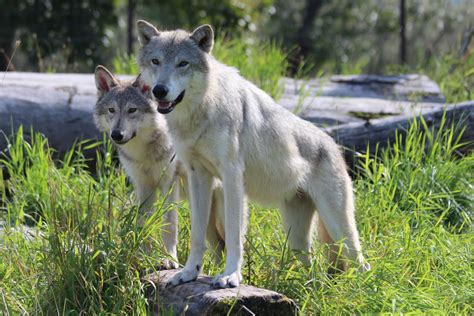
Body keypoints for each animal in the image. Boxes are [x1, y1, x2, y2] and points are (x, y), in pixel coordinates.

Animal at [94, 65, 226, 268]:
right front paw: (142, 256)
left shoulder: (169, 184)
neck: (144, 152)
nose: (117, 134)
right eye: (111, 110)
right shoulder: (143, 186)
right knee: (218, 244)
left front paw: (169, 259)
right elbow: (142, 223)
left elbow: (169, 225)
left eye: (132, 110)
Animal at [136, 19, 370, 288]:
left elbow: (234, 234)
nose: (159, 90)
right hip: (297, 238)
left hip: (338, 227)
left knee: (361, 262)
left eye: (182, 63)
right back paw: (311, 288)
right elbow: (197, 234)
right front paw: (188, 273)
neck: (201, 110)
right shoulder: (198, 177)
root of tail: (334, 146)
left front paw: (230, 276)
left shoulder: (232, 177)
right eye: (156, 61)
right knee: (314, 266)